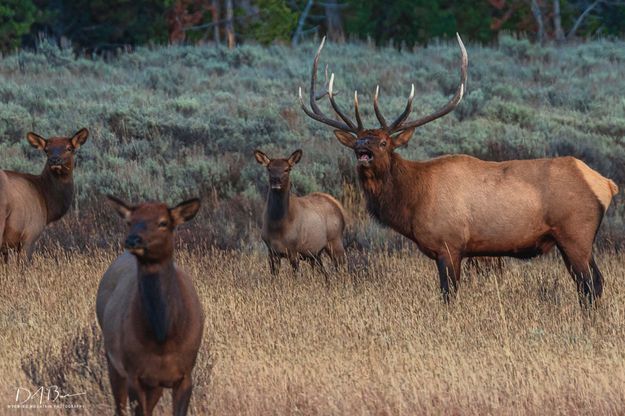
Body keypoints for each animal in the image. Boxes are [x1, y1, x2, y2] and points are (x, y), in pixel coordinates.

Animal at [95, 197, 202, 414]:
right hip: (113, 360)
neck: (163, 339)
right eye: (130, 221)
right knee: (119, 407)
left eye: (163, 222)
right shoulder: (134, 373)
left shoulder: (186, 373)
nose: (133, 240)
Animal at [254, 148, 346, 278]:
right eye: (269, 168)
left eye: (287, 169)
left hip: (335, 240)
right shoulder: (271, 251)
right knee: (325, 273)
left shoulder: (294, 249)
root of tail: (339, 206)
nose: (276, 180)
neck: (278, 225)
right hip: (316, 253)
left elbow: (296, 276)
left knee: (342, 268)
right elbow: (273, 277)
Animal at [300, 35, 616, 306]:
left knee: (590, 285)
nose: (362, 147)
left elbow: (448, 295)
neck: (412, 200)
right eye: (358, 140)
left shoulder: (449, 245)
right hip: (572, 241)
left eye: (384, 141)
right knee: (595, 284)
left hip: (575, 234)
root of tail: (606, 184)